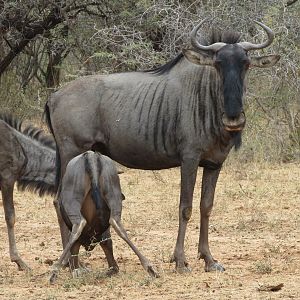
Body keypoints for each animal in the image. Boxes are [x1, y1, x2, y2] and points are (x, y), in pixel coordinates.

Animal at [49, 151, 158, 282]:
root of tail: (90, 155)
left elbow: (74, 246)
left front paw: (75, 269)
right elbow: (107, 245)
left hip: (72, 200)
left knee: (79, 225)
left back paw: (55, 271)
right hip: (112, 193)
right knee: (116, 223)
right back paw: (149, 267)